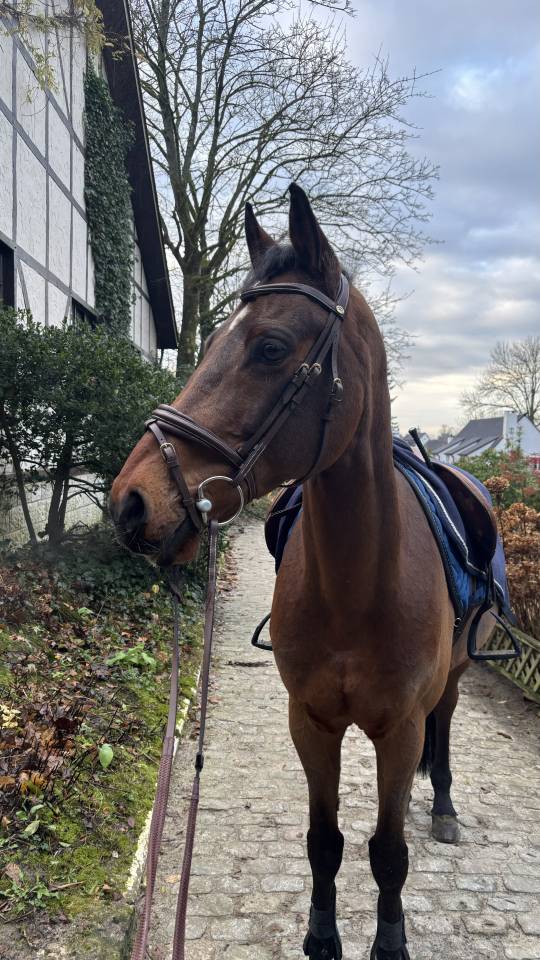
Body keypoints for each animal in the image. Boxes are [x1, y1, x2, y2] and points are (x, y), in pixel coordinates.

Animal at [110, 183, 494, 960]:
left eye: (270, 347)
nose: (132, 502)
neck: (358, 587)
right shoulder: (310, 722)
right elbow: (324, 841)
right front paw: (322, 936)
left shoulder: (398, 730)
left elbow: (388, 854)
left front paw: (390, 940)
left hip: (455, 677)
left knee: (444, 722)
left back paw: (441, 803)